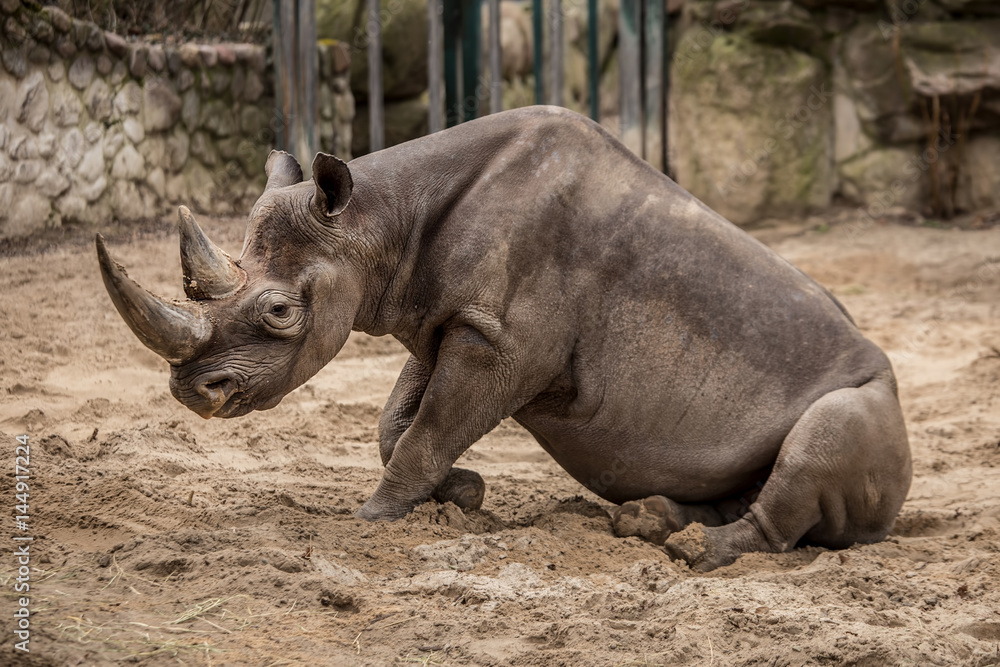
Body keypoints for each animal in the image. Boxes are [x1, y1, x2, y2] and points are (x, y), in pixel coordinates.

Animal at [96, 106, 911, 571]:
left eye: (277, 313)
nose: (191, 391)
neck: (376, 221)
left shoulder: (499, 341)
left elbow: (424, 432)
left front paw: (370, 525)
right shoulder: (447, 322)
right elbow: (400, 423)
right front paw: (463, 496)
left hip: (873, 395)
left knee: (823, 434)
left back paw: (692, 553)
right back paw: (646, 521)